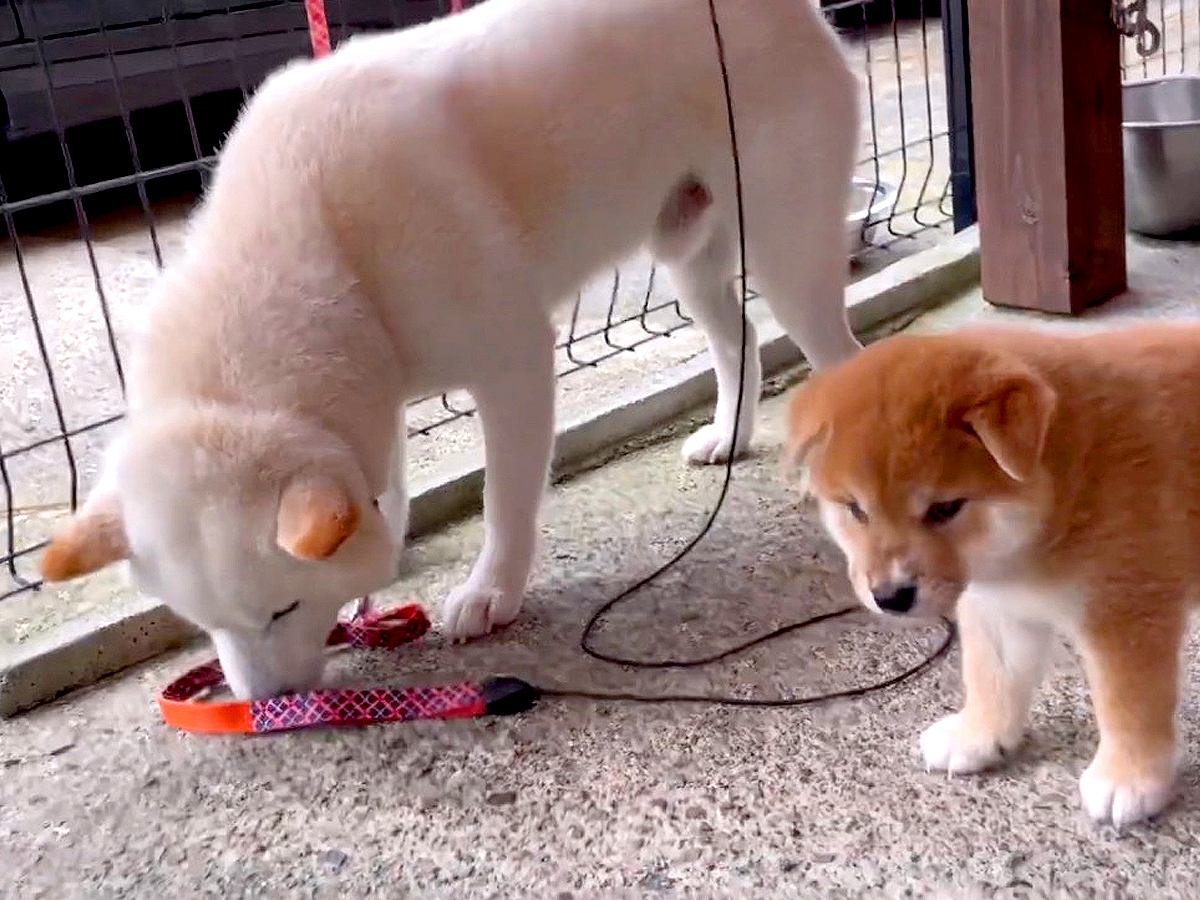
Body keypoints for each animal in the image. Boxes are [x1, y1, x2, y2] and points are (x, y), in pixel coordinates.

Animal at [39, 0, 864, 700]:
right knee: (741, 337)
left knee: (837, 355)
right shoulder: (374, 391)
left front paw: (492, 591)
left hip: (785, 254)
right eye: (202, 623)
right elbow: (388, 489)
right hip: (686, 255)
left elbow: (505, 502)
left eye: (282, 610)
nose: (266, 704)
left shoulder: (515, 366)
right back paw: (729, 436)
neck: (318, 239)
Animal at [787, 326, 1200, 830]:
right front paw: (978, 736)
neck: (1075, 477)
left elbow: (1128, 701)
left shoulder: (1125, 610)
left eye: (944, 508)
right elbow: (991, 678)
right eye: (855, 510)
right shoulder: (995, 605)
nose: (890, 596)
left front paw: (1129, 778)